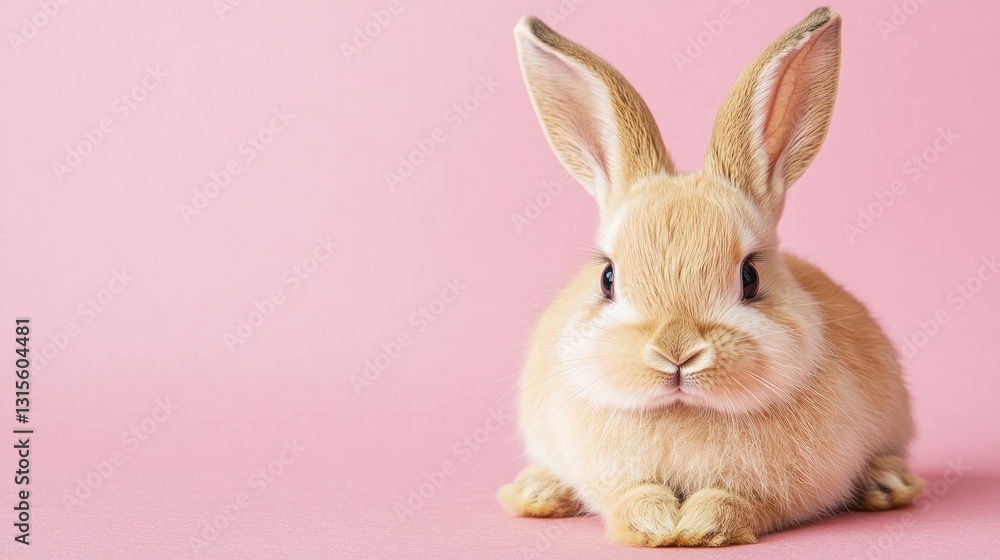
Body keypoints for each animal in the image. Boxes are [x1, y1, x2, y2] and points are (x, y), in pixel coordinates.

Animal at [498, 7, 924, 547]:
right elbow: (631, 494)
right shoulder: (610, 477)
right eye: (608, 279)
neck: (685, 411)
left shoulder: (782, 490)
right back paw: (535, 492)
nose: (675, 352)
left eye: (750, 277)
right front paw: (656, 525)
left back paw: (888, 484)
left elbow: (739, 501)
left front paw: (700, 526)